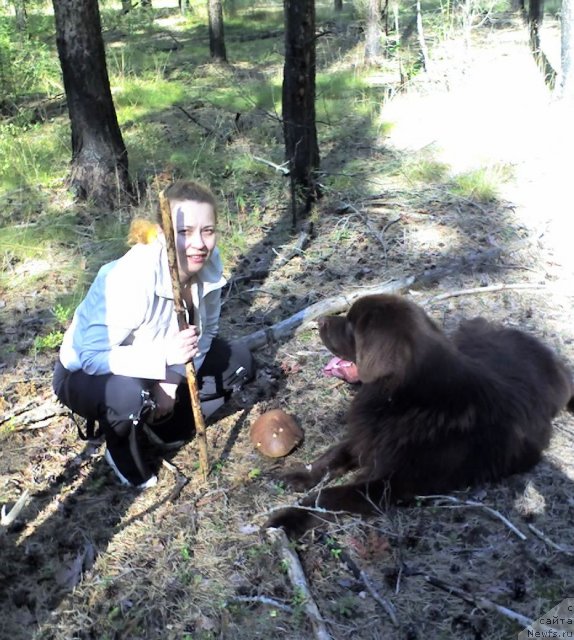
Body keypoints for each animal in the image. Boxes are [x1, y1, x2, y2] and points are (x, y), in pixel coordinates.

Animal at [266, 294, 574, 536]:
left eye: (352, 325)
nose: (319, 322)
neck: (405, 399)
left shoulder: (389, 484)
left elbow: (329, 496)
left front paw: (289, 518)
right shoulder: (369, 436)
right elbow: (332, 456)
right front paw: (299, 475)